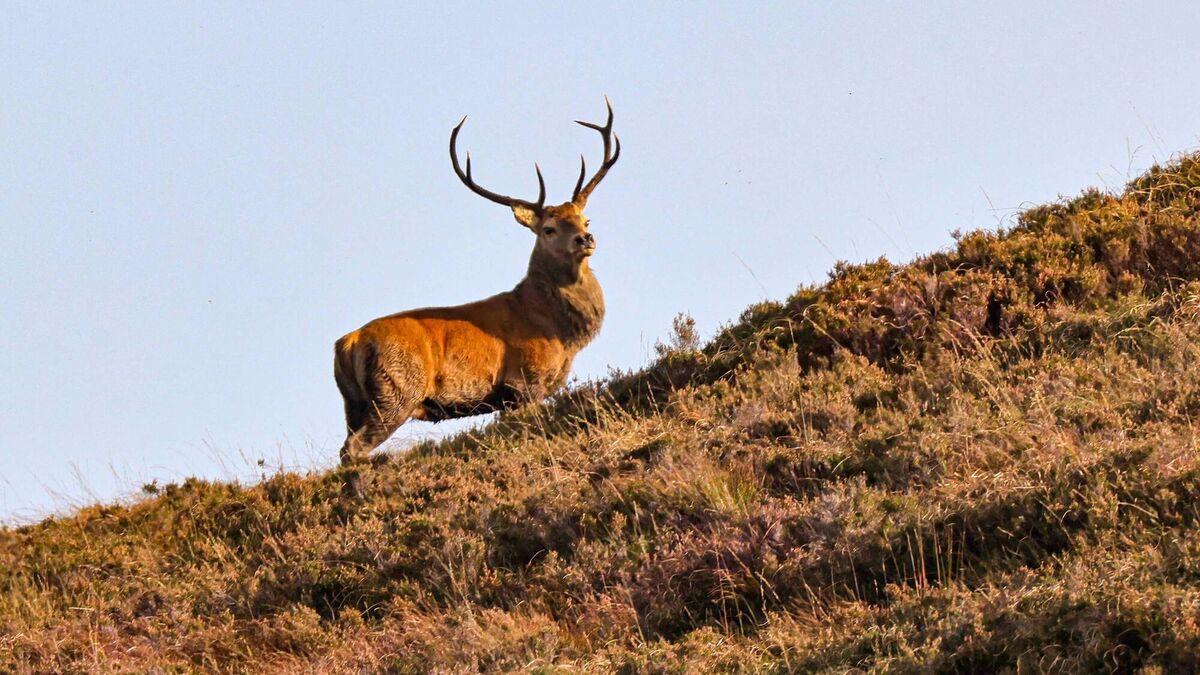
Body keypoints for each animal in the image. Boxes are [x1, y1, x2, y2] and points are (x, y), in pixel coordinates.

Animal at [333, 98, 621, 465]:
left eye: (585, 219)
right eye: (549, 228)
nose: (585, 239)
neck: (559, 331)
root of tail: (347, 343)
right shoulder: (524, 383)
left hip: (353, 404)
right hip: (395, 391)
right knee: (352, 448)